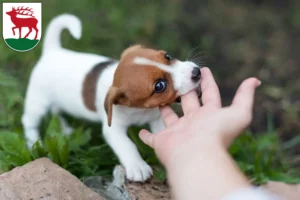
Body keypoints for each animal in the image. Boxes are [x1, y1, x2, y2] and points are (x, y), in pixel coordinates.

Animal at [21, 14, 202, 182]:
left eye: (168, 56)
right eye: (159, 86)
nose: (196, 72)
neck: (139, 110)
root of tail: (53, 51)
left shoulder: (157, 119)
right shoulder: (113, 129)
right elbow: (127, 145)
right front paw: (137, 166)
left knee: (56, 111)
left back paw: (64, 128)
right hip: (38, 102)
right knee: (29, 120)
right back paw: (33, 142)